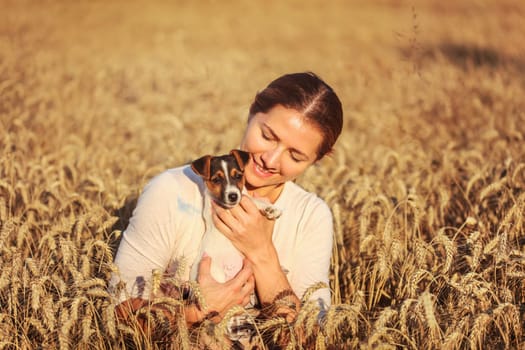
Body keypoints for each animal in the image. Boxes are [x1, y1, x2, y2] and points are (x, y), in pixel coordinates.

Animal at [189, 149, 282, 284]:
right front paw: (271, 207)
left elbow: (248, 197)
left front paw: (271, 209)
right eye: (216, 180)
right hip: (217, 274)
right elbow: (250, 199)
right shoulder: (221, 207)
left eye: (238, 176)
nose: (233, 196)